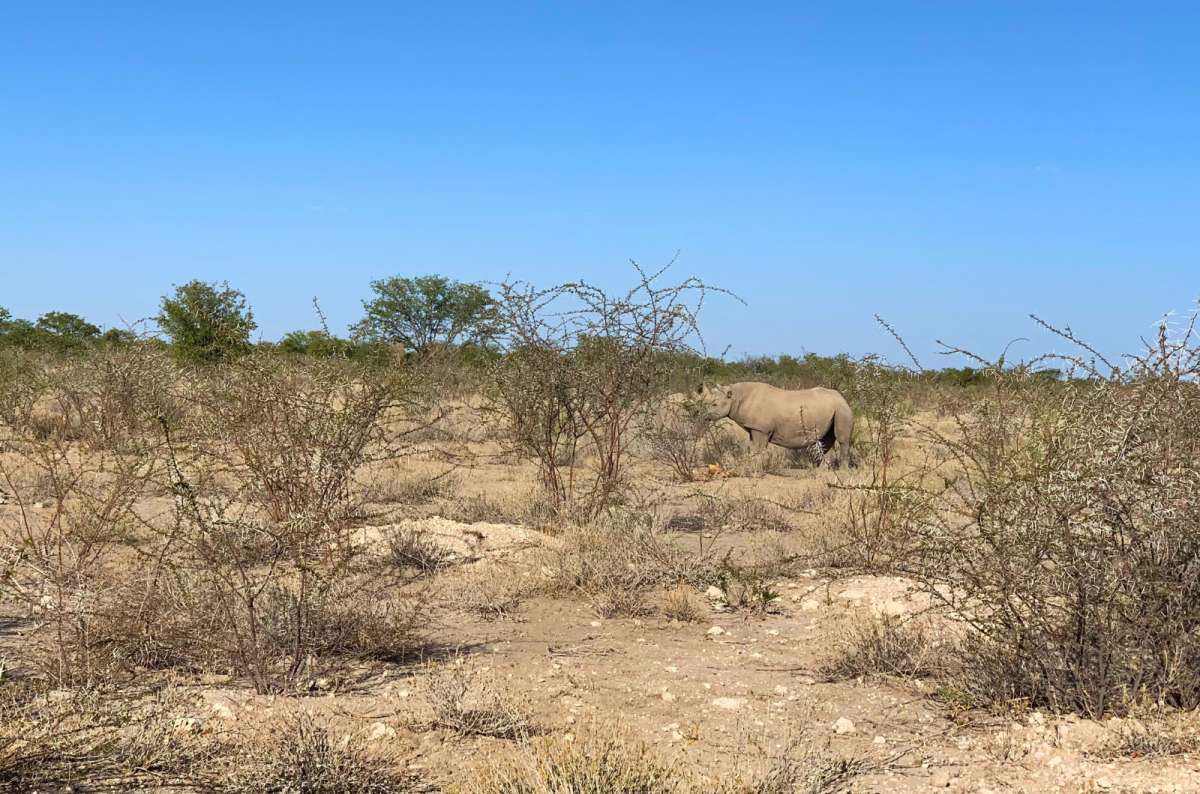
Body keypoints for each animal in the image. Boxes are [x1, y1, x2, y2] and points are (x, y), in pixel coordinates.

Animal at [695, 381, 855, 468]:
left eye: (714, 404)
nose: (701, 415)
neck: (735, 397)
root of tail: (842, 397)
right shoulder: (754, 428)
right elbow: (753, 448)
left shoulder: (760, 429)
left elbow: (758, 449)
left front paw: (754, 466)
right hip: (834, 409)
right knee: (825, 440)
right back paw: (821, 469)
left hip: (842, 409)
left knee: (841, 439)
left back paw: (843, 471)